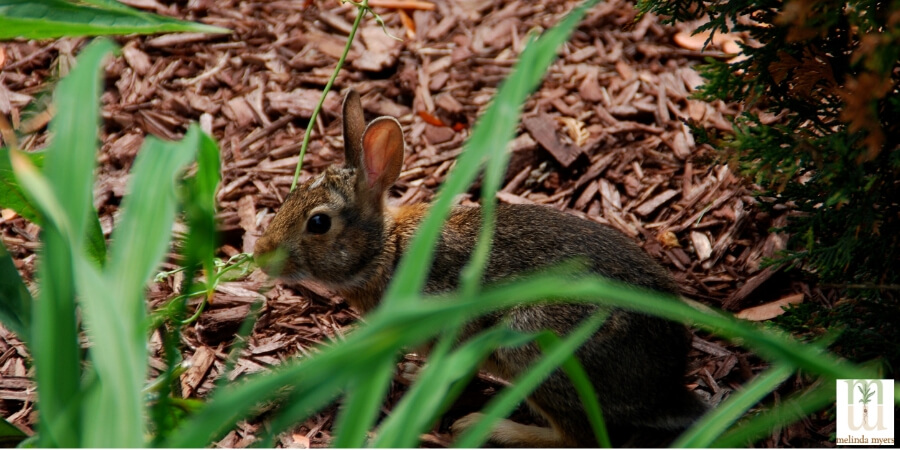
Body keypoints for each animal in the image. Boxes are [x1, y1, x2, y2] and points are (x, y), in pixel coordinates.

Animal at [251, 89, 704, 446]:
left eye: (318, 223)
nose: (261, 254)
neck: (386, 251)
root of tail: (665, 388)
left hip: (535, 348)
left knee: (575, 436)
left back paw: (487, 427)